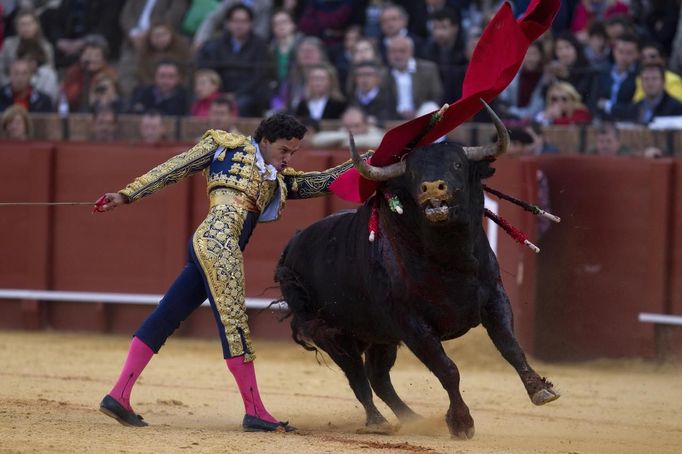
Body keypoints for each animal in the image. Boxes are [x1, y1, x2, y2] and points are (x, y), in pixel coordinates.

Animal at [274, 104, 556, 438]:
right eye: (412, 173)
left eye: (458, 164)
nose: (432, 187)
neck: (449, 260)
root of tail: (292, 244)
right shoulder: (413, 325)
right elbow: (447, 369)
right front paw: (461, 422)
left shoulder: (494, 299)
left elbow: (510, 346)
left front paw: (539, 389)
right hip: (332, 333)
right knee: (358, 377)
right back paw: (378, 422)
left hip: (380, 335)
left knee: (378, 377)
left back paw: (412, 419)